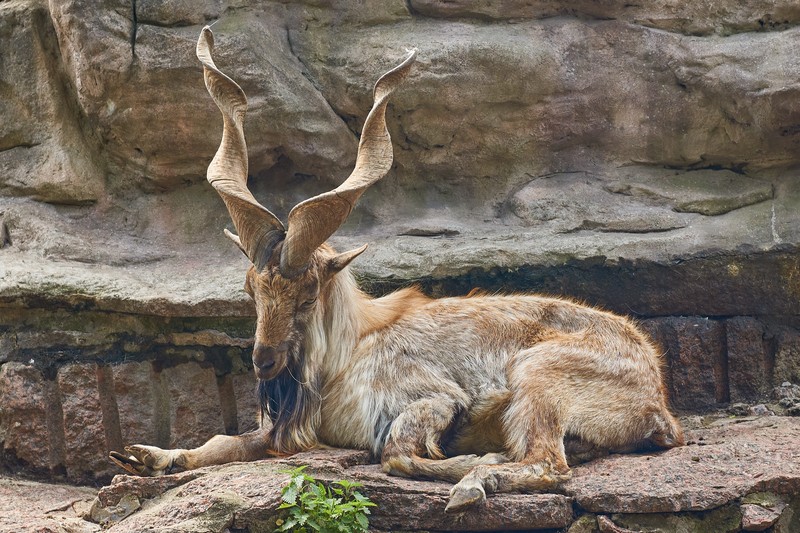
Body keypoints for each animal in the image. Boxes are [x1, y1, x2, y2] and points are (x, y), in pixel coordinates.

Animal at [114, 27, 688, 510]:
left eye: (308, 293)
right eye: (252, 289)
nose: (264, 362)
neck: (347, 355)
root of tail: (656, 398)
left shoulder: (432, 398)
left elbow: (399, 454)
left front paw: (475, 458)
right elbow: (222, 441)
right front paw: (142, 456)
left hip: (539, 374)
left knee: (547, 462)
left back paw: (477, 481)